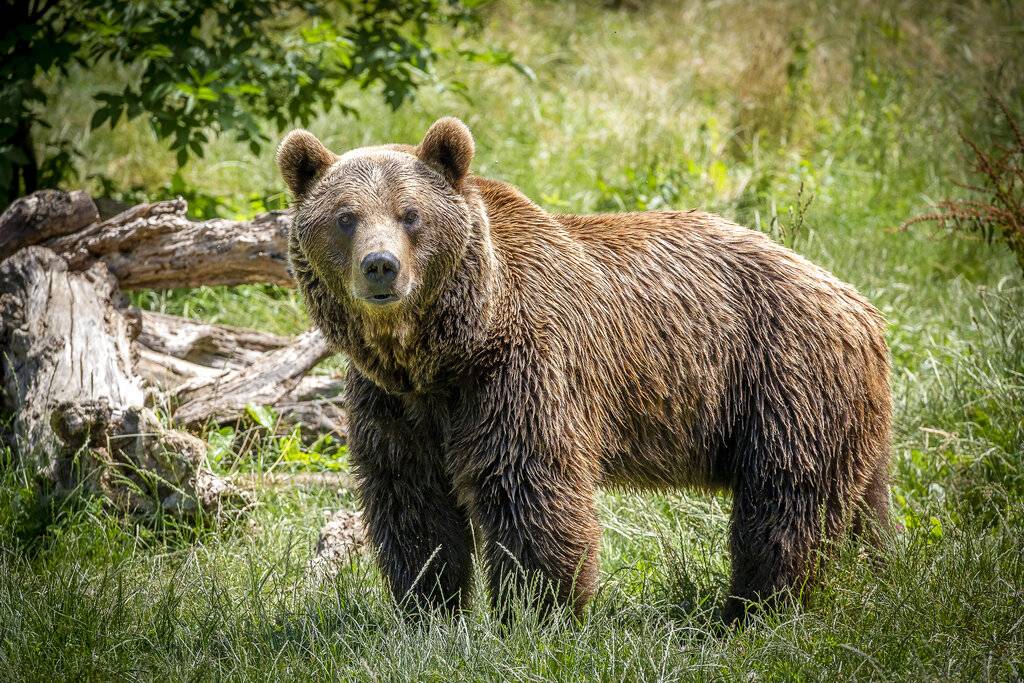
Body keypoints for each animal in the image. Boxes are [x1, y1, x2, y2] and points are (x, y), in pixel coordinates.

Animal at [276, 118, 892, 626]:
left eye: (411, 214)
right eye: (345, 218)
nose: (381, 267)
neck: (446, 349)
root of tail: (859, 305)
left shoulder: (521, 367)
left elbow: (527, 486)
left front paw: (536, 612)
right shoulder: (393, 400)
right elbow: (411, 497)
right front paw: (430, 608)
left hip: (782, 379)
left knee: (784, 503)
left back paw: (752, 608)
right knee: (866, 503)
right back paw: (880, 574)